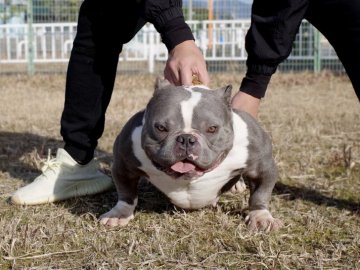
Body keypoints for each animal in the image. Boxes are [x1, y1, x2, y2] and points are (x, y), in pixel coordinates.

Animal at [100, 78, 282, 232]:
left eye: (212, 129)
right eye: (161, 128)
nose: (186, 138)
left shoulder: (263, 167)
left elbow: (260, 193)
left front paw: (261, 217)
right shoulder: (123, 165)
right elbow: (126, 193)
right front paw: (119, 214)